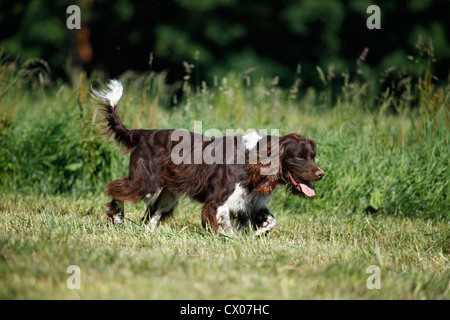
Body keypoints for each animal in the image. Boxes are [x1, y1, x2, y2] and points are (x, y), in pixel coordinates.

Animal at [92, 80, 324, 235]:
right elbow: (226, 228)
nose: (321, 174)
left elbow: (270, 222)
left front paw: (256, 234)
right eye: (299, 157)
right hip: (148, 184)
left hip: (168, 194)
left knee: (151, 217)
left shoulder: (252, 202)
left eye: (312, 156)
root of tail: (142, 133)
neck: (253, 160)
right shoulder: (217, 201)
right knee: (116, 188)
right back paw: (118, 219)